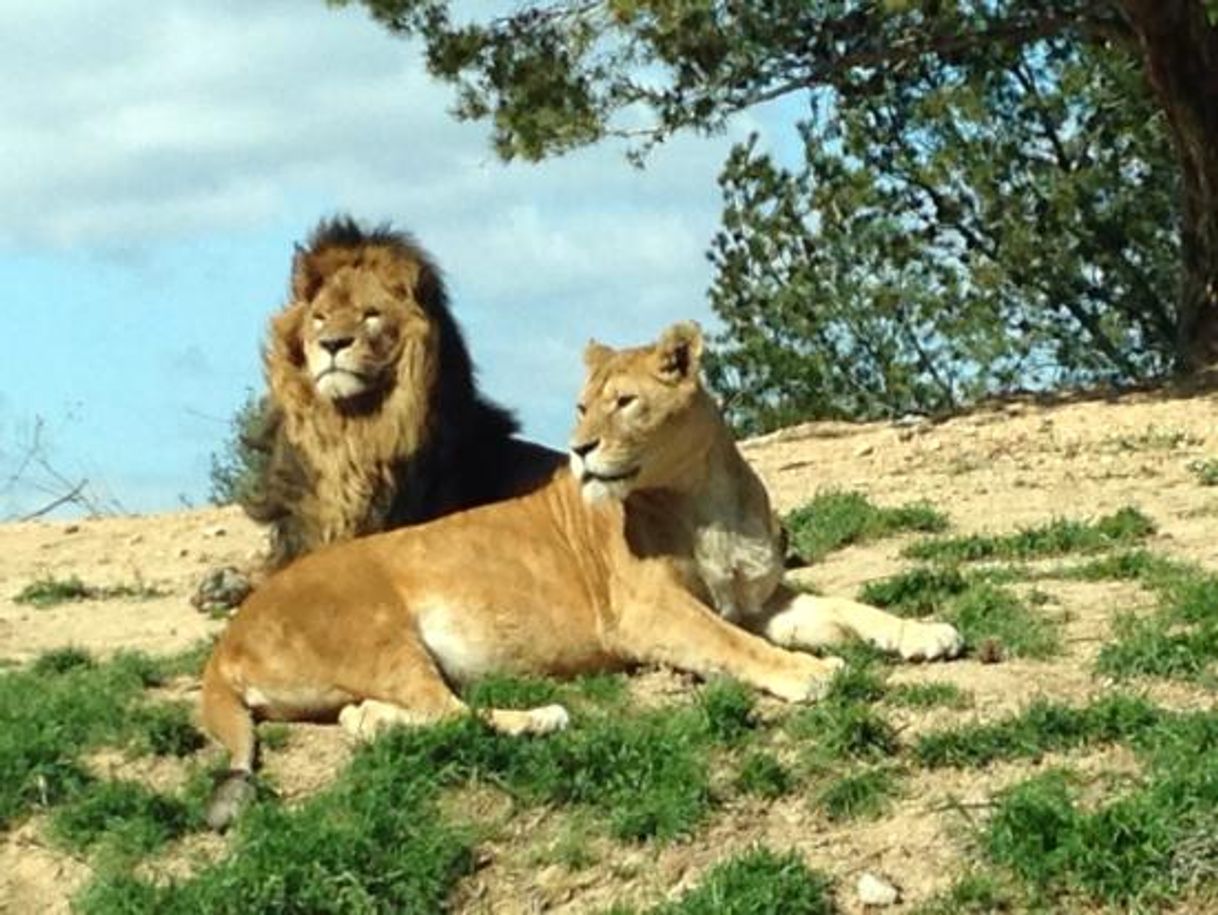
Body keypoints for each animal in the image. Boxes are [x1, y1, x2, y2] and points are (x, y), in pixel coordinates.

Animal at [199, 321, 959, 828]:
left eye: (624, 402)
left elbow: (851, 609)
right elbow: (735, 646)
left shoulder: (760, 597)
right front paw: (811, 672)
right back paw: (543, 716)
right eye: (581, 406)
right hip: (380, 632)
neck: (705, 497)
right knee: (451, 715)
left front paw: (925, 633)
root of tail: (225, 643)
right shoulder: (649, 615)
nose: (580, 449)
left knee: (374, 719)